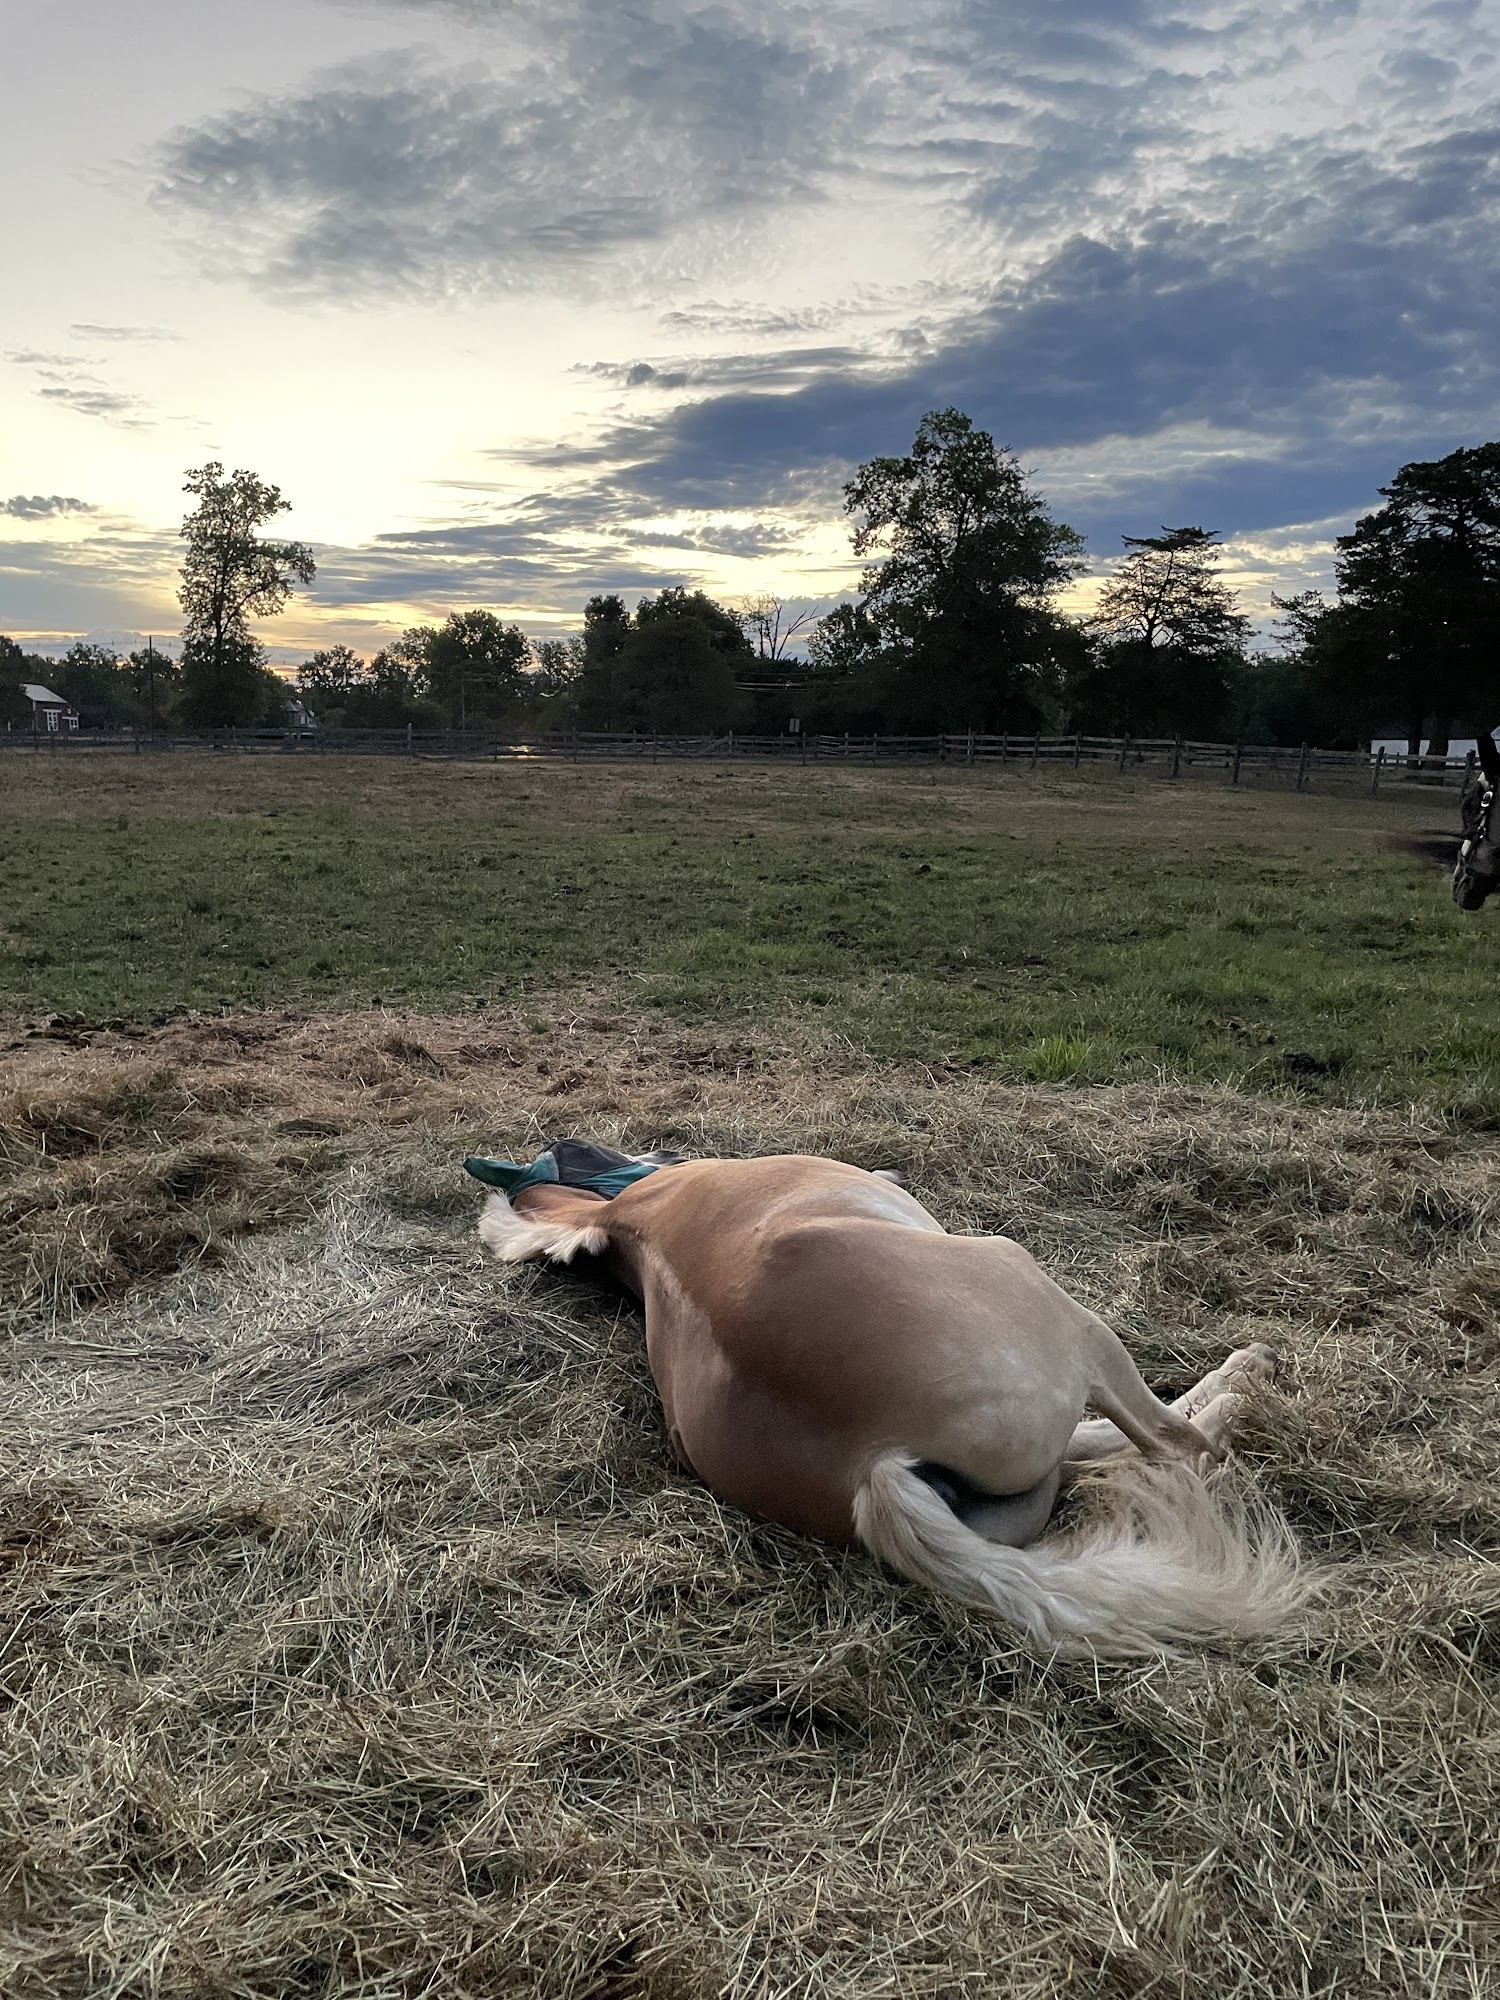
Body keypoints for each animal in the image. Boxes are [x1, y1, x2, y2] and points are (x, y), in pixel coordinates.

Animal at [469, 1142, 1310, 1657]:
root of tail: (871, 1466)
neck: (636, 1218)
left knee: (1107, 1448)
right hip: (1045, 1298)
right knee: (1179, 1448)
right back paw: (1244, 1383)